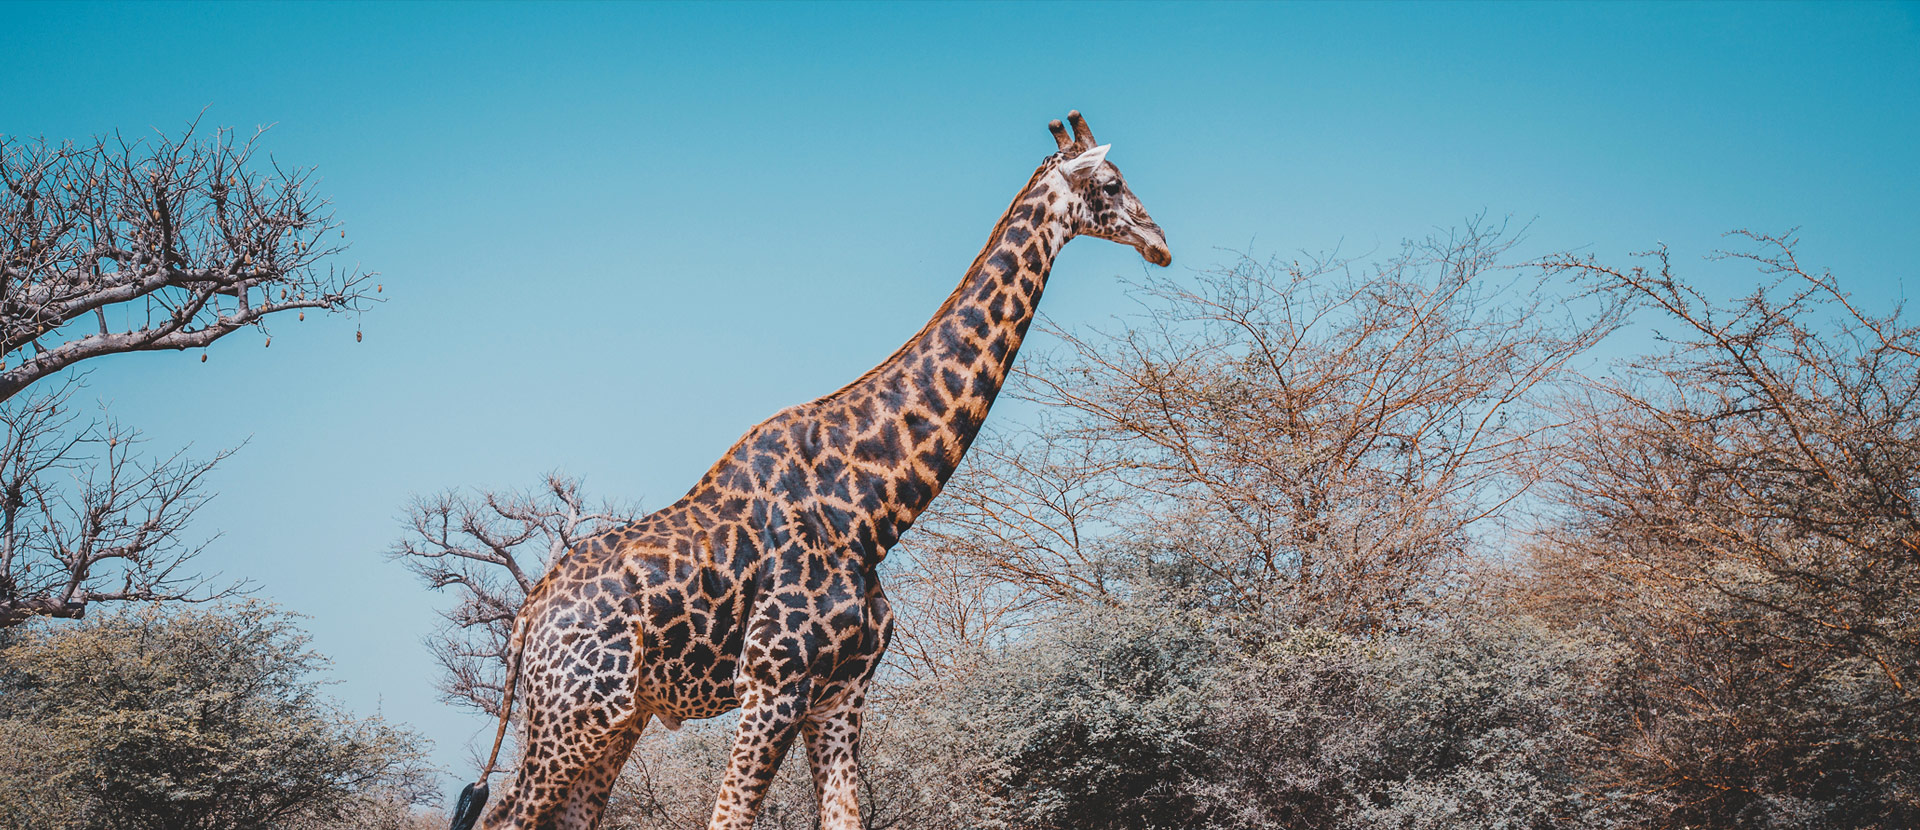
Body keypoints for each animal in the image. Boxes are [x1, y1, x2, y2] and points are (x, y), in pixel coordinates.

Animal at [449, 110, 1167, 830]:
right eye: (1111, 182)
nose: (1159, 243)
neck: (871, 509)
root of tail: (528, 617)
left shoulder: (841, 692)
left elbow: (845, 817)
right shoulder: (773, 686)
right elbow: (729, 818)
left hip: (616, 719)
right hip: (575, 714)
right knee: (506, 817)